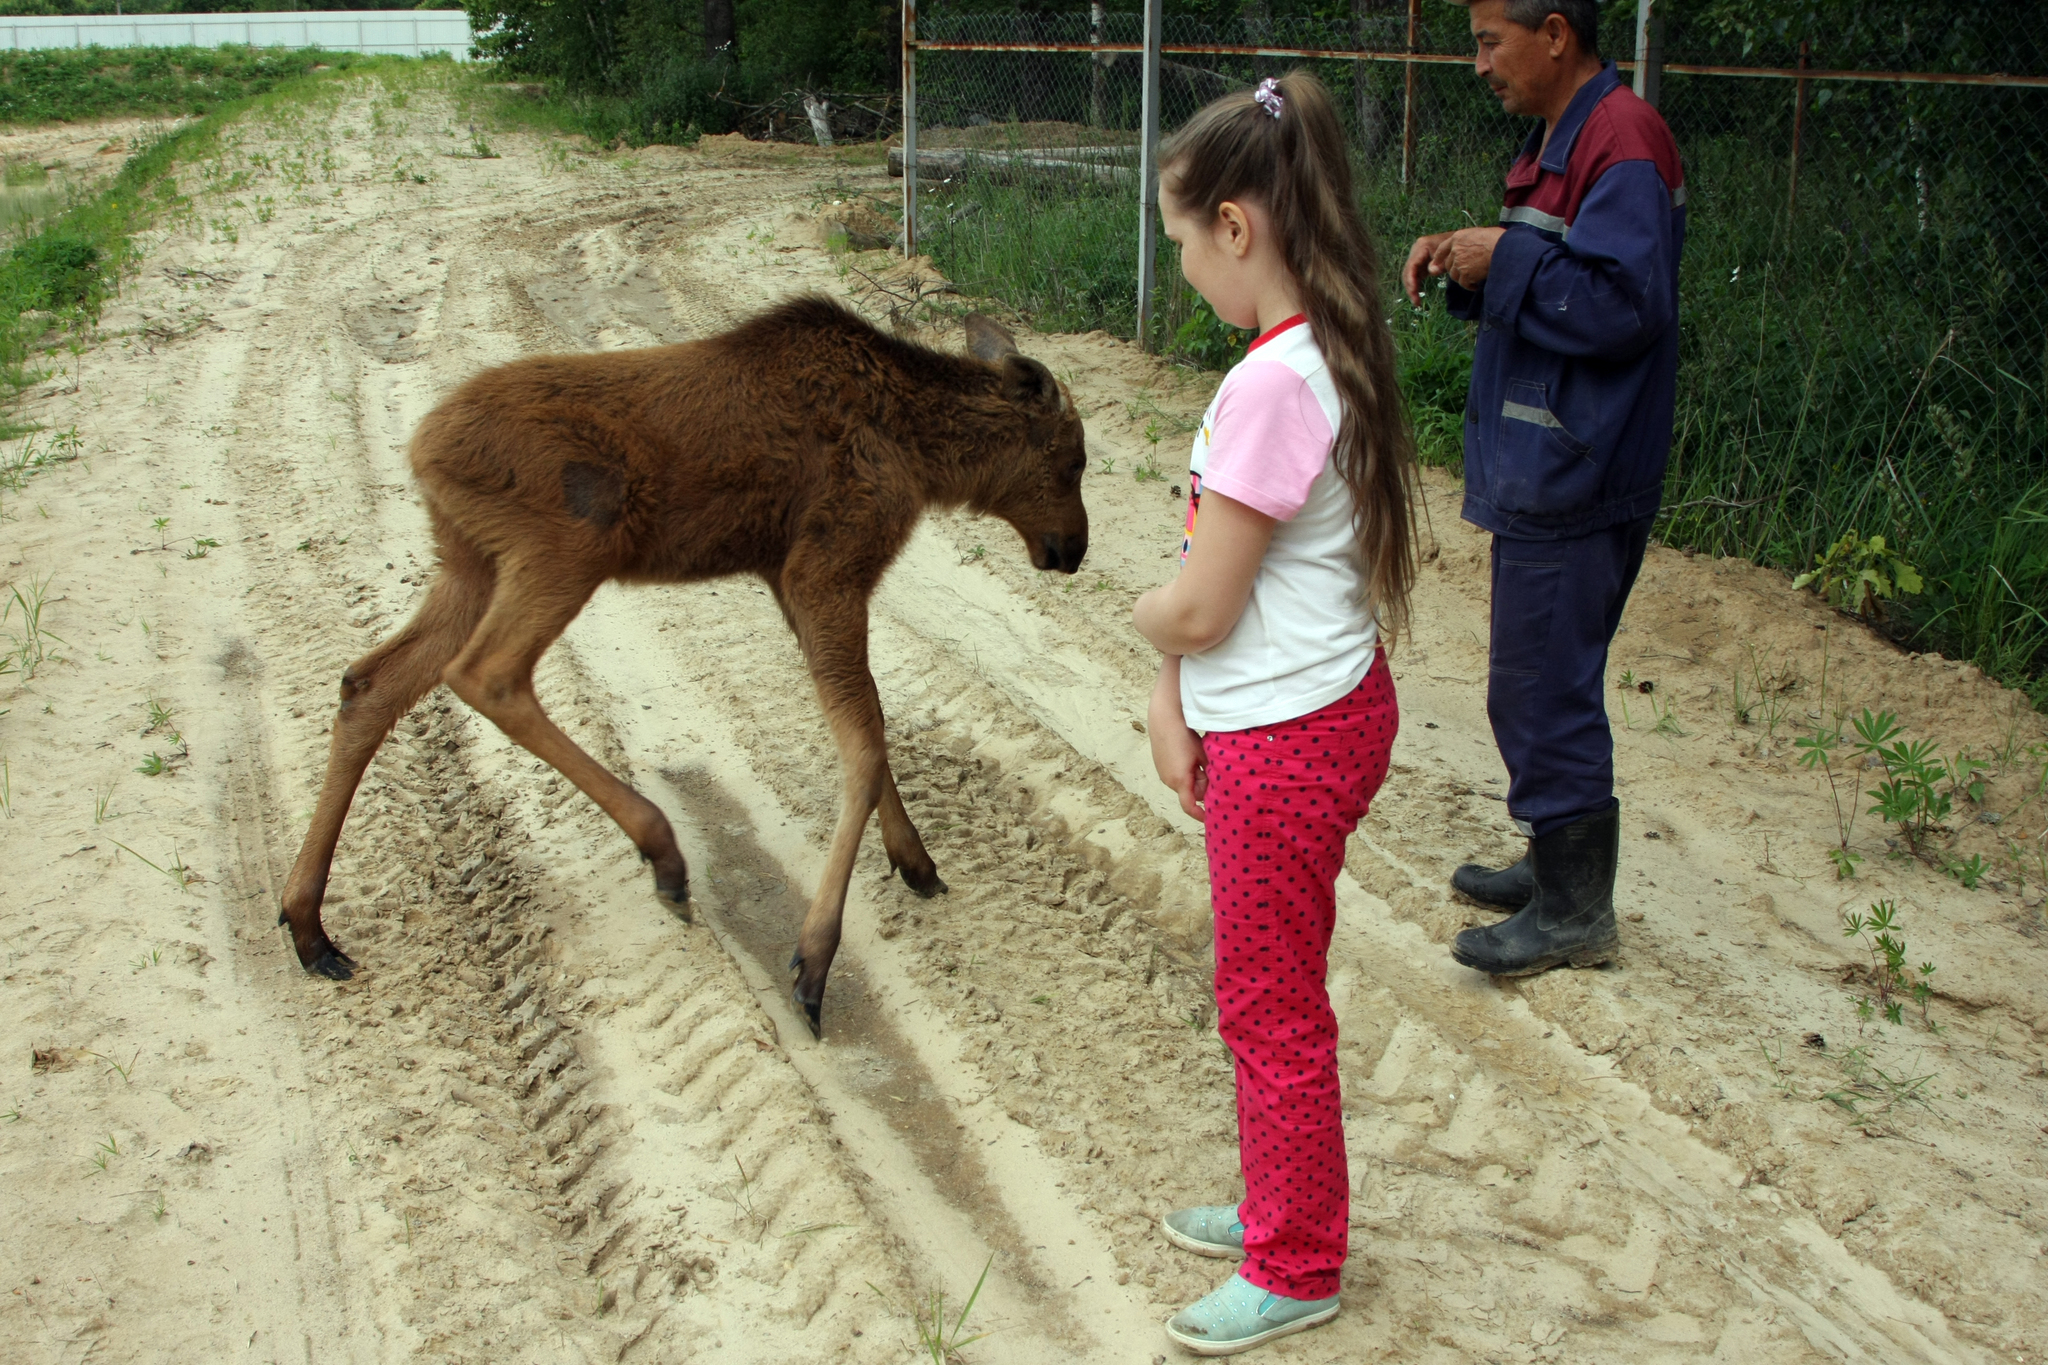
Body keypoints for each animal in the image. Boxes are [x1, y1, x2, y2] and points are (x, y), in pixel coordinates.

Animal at [290, 294, 1097, 1031]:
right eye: (1072, 459)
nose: (1074, 548)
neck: (923, 454)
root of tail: (421, 451)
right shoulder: (825, 566)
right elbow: (865, 744)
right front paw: (814, 961)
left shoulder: (785, 577)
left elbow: (868, 725)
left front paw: (916, 860)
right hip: (570, 543)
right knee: (486, 673)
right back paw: (663, 852)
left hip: (469, 561)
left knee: (369, 681)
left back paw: (307, 924)